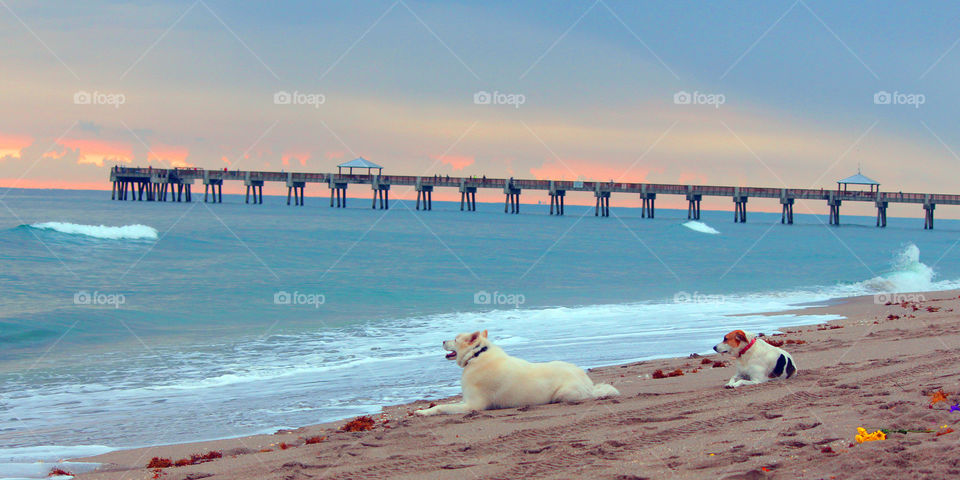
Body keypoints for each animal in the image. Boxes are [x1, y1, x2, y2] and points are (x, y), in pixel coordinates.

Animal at [416, 330, 620, 416]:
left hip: (563, 394)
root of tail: (588, 383)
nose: (443, 340)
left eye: (456, 339)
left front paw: (424, 412)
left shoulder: (473, 405)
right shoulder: (466, 401)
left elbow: (442, 407)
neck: (476, 355)